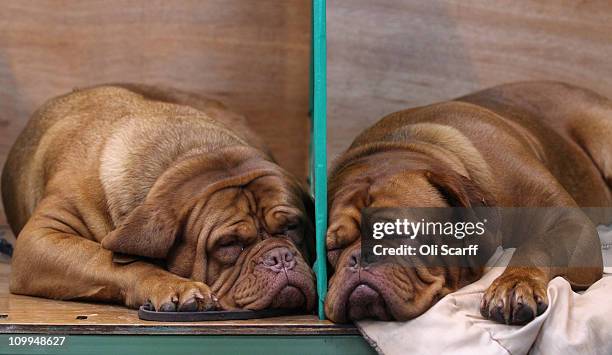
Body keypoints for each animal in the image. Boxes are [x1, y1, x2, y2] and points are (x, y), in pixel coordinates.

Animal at [4, 85, 318, 312]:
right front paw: (175, 286)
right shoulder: (41, 238)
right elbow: (108, 260)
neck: (189, 158)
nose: (279, 257)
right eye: (228, 244)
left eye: (293, 227)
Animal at [328, 81, 608, 326]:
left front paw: (516, 283)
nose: (361, 257)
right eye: (332, 247)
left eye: (403, 234)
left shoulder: (570, 221)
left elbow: (537, 244)